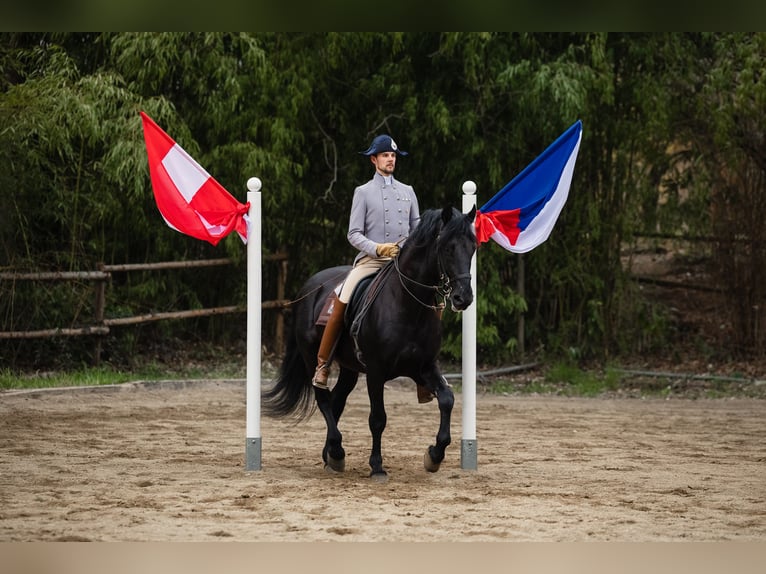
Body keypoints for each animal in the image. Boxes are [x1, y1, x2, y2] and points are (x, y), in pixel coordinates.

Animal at [268, 207, 476, 482]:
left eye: (473, 247)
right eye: (448, 248)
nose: (464, 297)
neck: (408, 305)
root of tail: (310, 286)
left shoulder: (424, 368)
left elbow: (447, 400)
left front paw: (434, 455)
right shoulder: (376, 373)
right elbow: (378, 418)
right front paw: (377, 466)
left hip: (349, 368)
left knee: (336, 400)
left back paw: (331, 454)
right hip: (313, 358)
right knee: (323, 398)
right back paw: (336, 451)